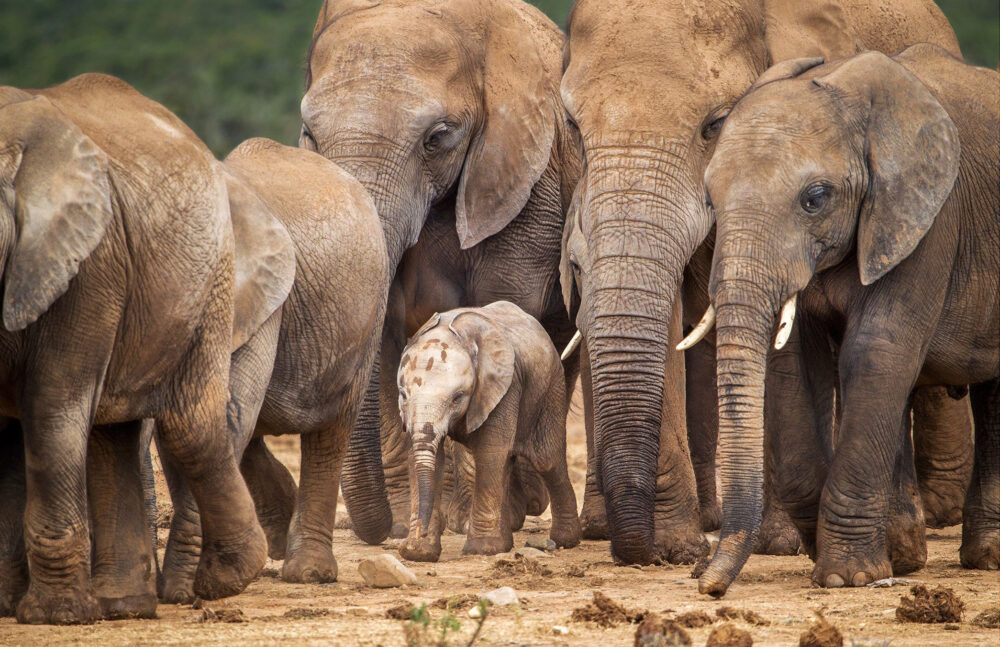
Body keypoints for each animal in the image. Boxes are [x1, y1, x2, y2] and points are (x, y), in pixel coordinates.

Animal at [0, 74, 275, 624]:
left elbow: (51, 407)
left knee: (188, 425)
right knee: (115, 434)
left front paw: (54, 616)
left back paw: (226, 579)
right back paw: (123, 606)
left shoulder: (89, 263)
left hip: (210, 279)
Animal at [156, 138, 390, 601]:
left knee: (330, 433)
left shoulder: (263, 301)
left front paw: (199, 586)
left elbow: (210, 417)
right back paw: (278, 536)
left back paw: (308, 572)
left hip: (370, 315)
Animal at [396, 302, 581, 561]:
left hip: (551, 388)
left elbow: (489, 451)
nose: (417, 536)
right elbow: (421, 456)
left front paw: (480, 549)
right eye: (403, 394)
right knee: (509, 461)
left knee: (546, 460)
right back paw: (504, 545)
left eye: (458, 397)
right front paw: (418, 552)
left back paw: (564, 541)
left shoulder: (504, 387)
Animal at [559, 0, 970, 565]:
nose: (638, 555)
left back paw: (939, 511)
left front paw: (778, 544)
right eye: (573, 126)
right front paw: (675, 547)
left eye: (715, 124)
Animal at [691, 43, 999, 594]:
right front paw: (846, 560)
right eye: (710, 200)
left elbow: (876, 351)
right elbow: (795, 364)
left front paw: (844, 577)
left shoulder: (930, 218)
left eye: (816, 199)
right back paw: (907, 559)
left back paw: (984, 558)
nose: (706, 584)